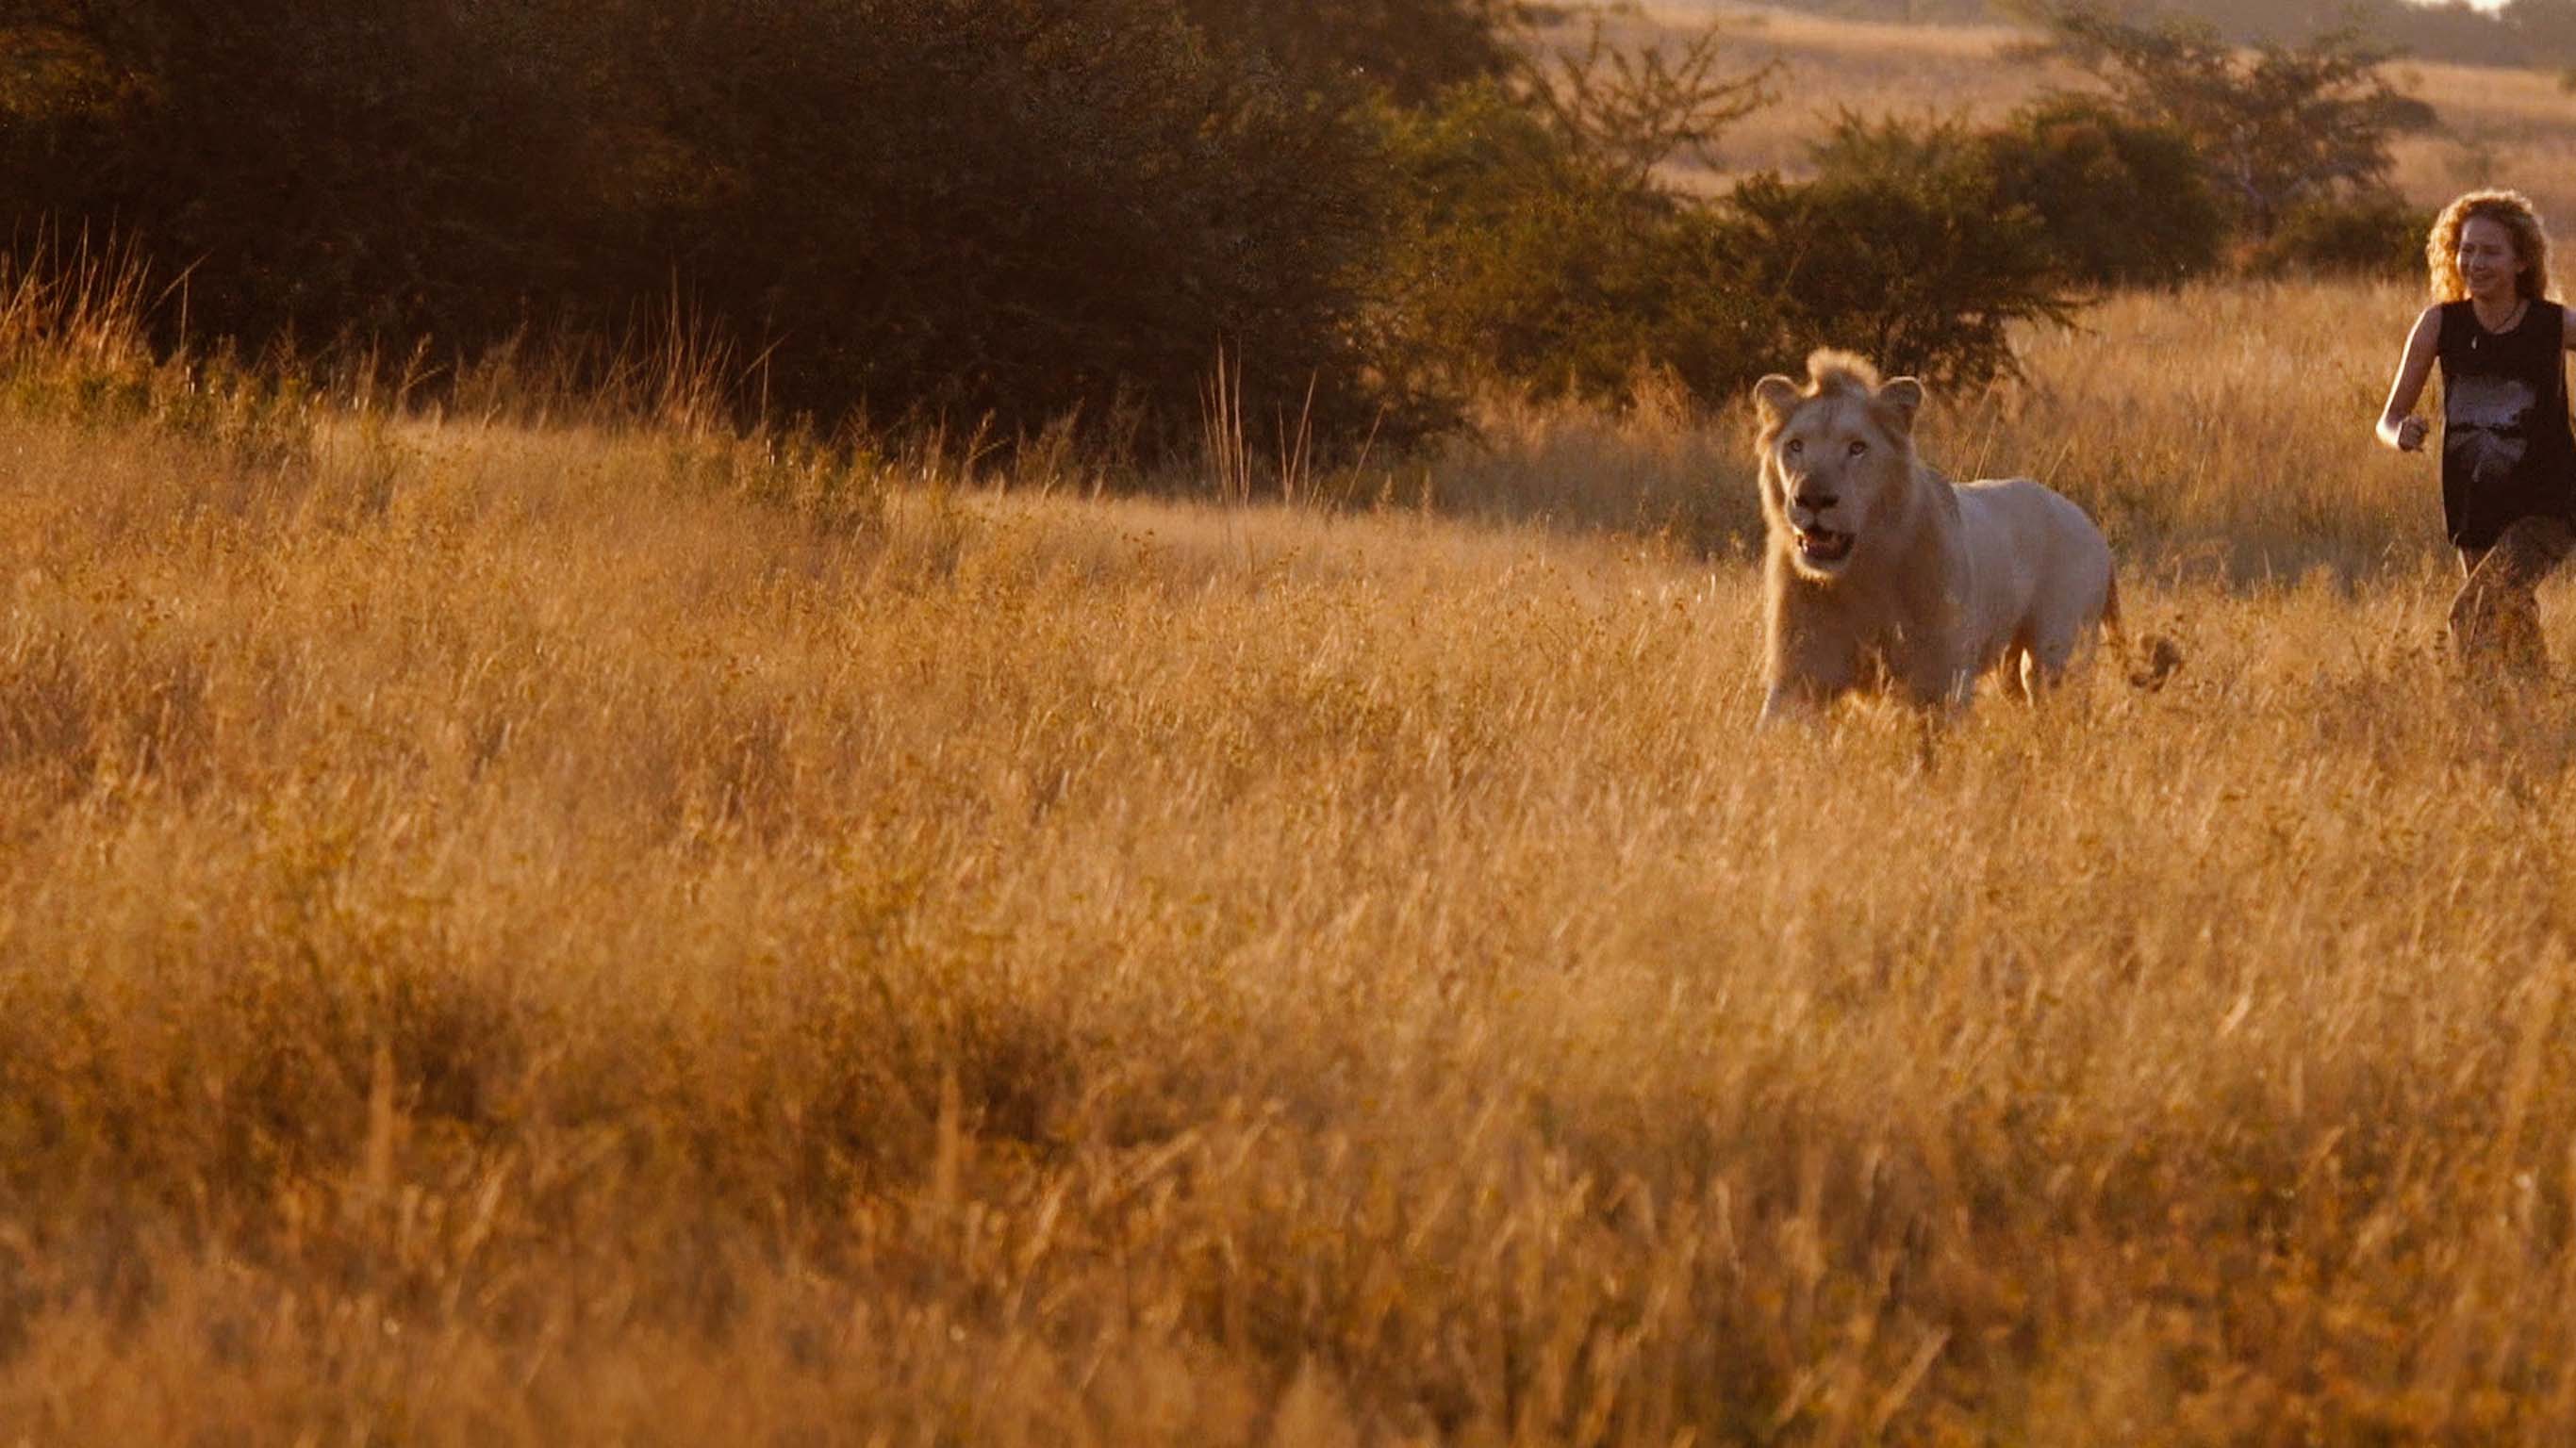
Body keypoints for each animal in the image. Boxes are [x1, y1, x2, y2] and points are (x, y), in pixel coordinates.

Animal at [1750, 350, 2160, 726]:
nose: (1813, 498)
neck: (1861, 572)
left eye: (1857, 447)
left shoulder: (1941, 682)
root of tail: (2095, 531)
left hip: (2057, 657)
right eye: (1795, 446)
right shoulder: (1798, 679)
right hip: (2013, 667)